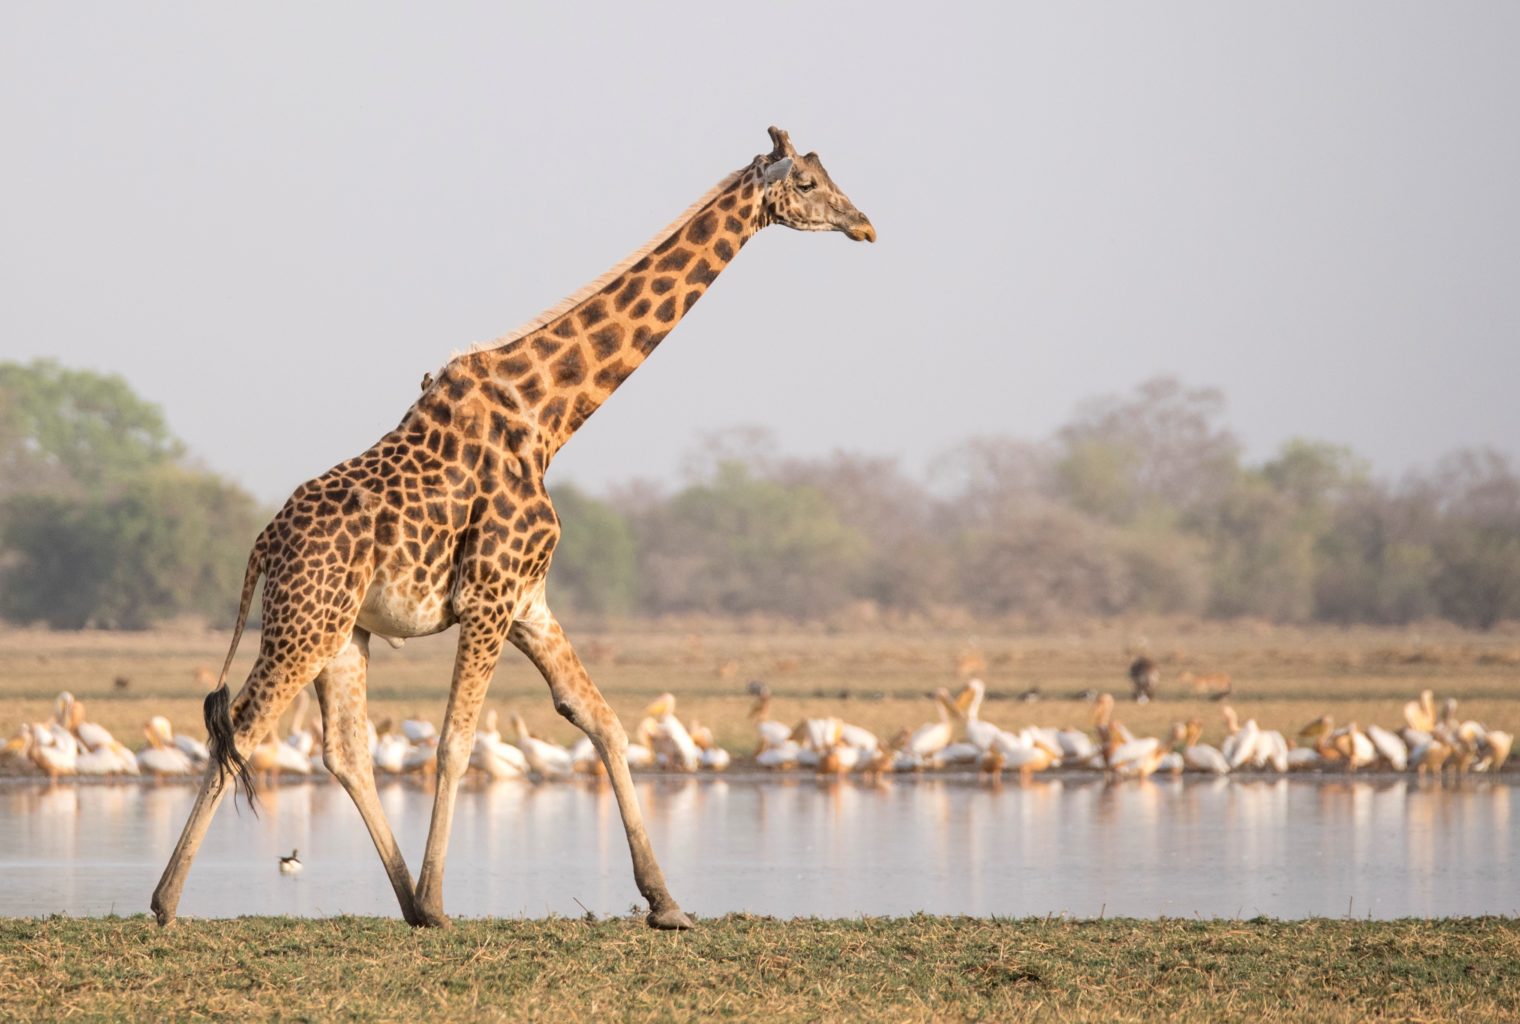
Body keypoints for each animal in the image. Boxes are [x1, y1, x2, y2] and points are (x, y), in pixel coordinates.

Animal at [151, 125, 881, 923]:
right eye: (807, 183)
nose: (864, 225)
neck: (548, 417)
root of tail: (262, 546)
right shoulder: (489, 597)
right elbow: (456, 743)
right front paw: (444, 899)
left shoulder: (529, 600)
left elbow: (602, 720)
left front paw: (666, 903)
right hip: (304, 624)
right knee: (243, 728)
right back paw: (170, 900)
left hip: (343, 632)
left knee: (341, 750)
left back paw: (404, 900)